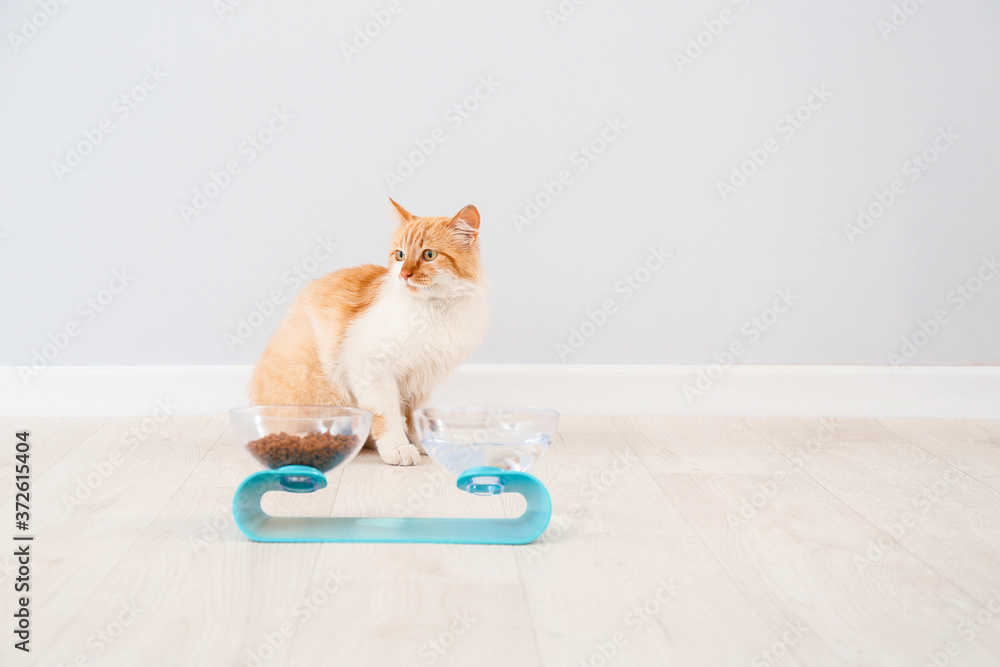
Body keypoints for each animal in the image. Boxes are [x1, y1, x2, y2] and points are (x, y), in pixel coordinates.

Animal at [252, 201, 490, 468]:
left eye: (429, 255)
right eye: (400, 255)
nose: (404, 274)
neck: (432, 309)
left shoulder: (423, 377)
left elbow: (417, 416)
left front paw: (424, 443)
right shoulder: (371, 366)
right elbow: (386, 413)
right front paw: (398, 447)